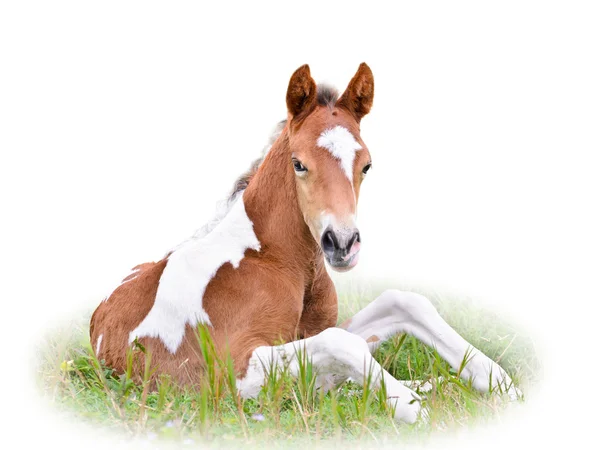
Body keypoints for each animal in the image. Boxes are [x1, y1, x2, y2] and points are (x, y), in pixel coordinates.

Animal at [90, 62, 520, 422]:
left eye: (366, 165)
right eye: (299, 163)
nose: (342, 244)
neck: (272, 258)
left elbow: (403, 302)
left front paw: (502, 385)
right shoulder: (226, 373)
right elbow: (341, 343)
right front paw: (414, 409)